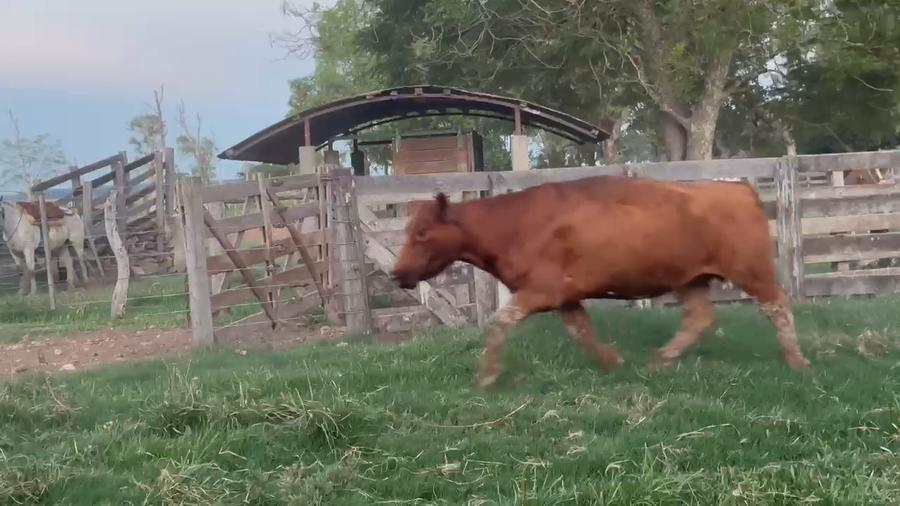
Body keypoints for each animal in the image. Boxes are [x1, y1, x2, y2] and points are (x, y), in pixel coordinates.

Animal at [390, 175, 811, 390]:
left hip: (752, 271)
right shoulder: (565, 297)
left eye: (423, 233)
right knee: (700, 317)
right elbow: (582, 330)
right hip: (690, 279)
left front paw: (487, 375)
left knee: (777, 306)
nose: (397, 273)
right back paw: (662, 359)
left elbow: (500, 322)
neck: (513, 222)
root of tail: (736, 186)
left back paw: (797, 360)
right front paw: (613, 361)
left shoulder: (540, 291)